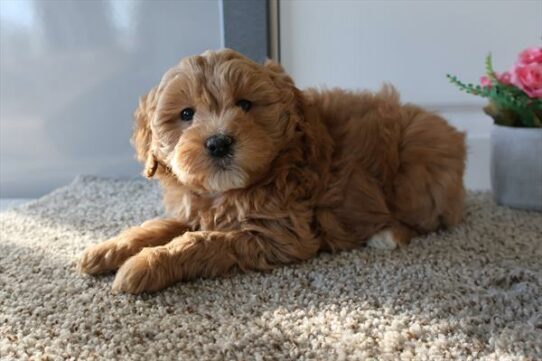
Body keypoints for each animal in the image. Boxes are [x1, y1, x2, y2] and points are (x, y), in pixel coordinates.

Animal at [79, 48, 468, 292]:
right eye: (186, 114)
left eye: (245, 104)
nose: (218, 143)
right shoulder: (193, 209)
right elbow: (158, 227)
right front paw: (108, 249)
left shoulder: (280, 233)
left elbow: (202, 242)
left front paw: (144, 266)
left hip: (417, 166)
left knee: (426, 221)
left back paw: (387, 235)